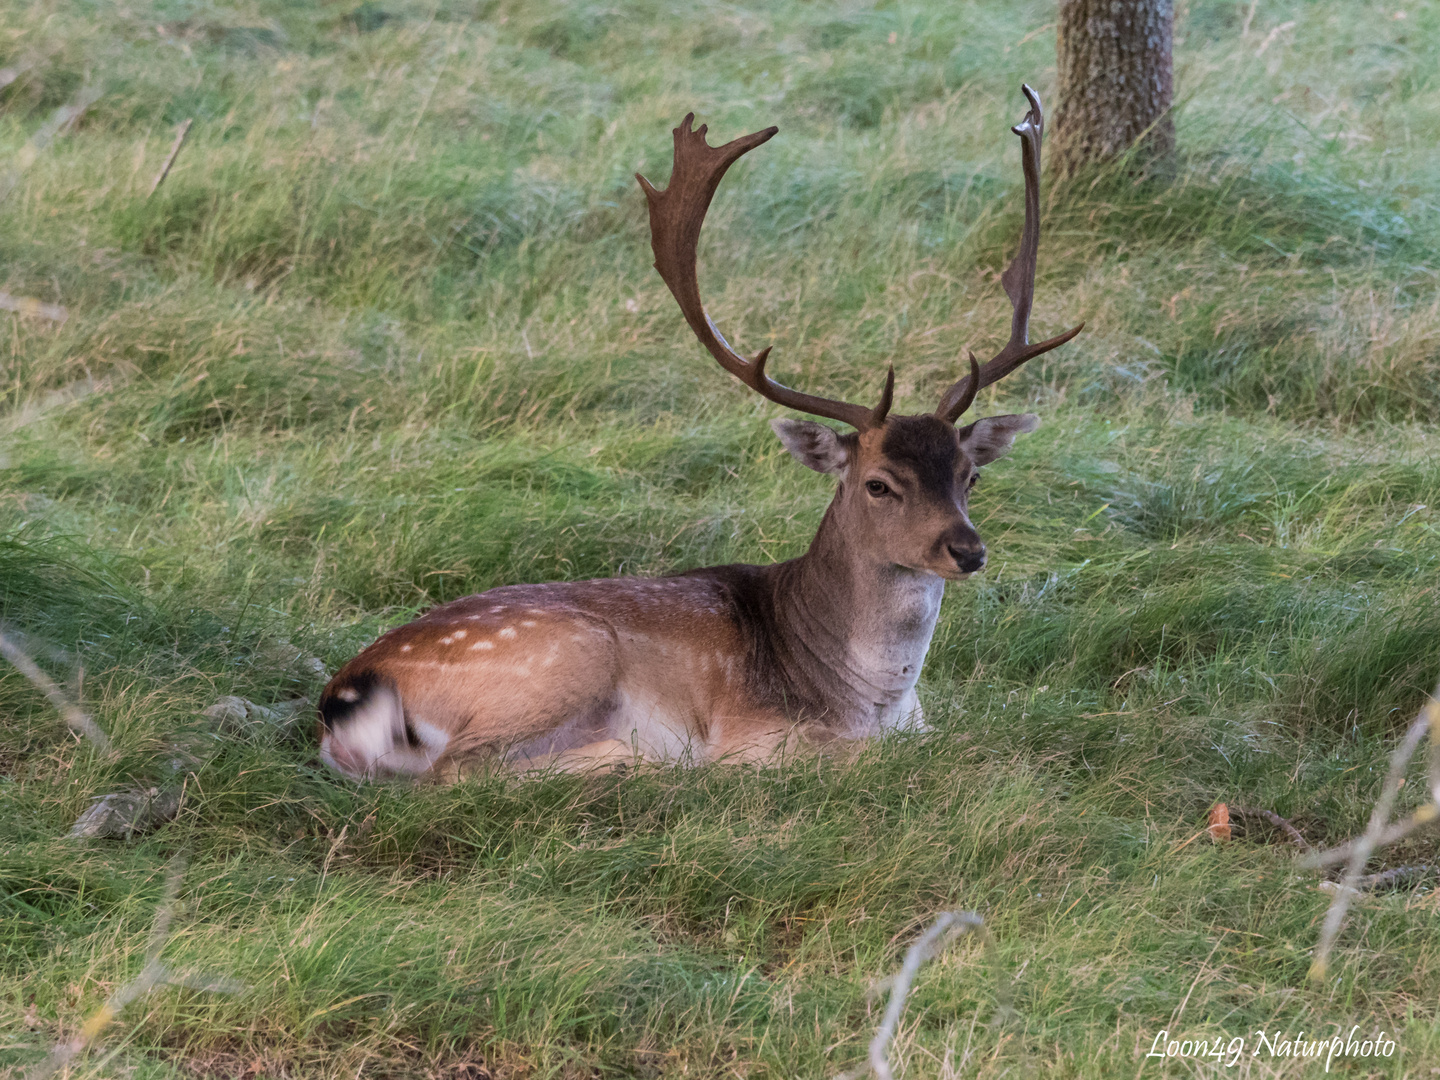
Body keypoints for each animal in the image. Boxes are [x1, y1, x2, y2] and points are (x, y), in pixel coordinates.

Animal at [315, 84, 1082, 777]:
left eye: (969, 475)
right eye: (877, 483)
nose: (968, 549)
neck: (873, 700)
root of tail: (340, 697)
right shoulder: (764, 733)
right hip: (566, 656)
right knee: (457, 769)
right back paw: (642, 761)